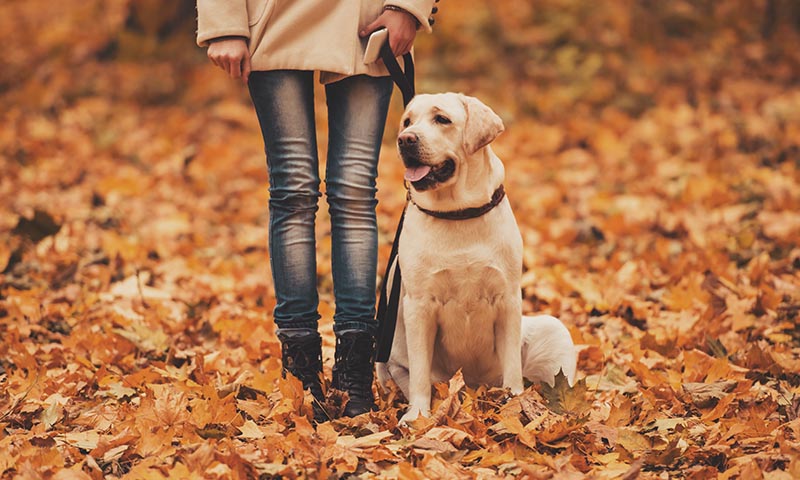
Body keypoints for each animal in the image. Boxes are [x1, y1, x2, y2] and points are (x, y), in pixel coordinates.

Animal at [378, 92, 580, 422]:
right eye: (408, 121)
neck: (457, 213)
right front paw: (417, 416)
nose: (405, 139)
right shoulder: (418, 306)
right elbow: (419, 373)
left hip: (553, 331)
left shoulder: (508, 299)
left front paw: (516, 403)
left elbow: (512, 367)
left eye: (442, 119)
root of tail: (474, 388)